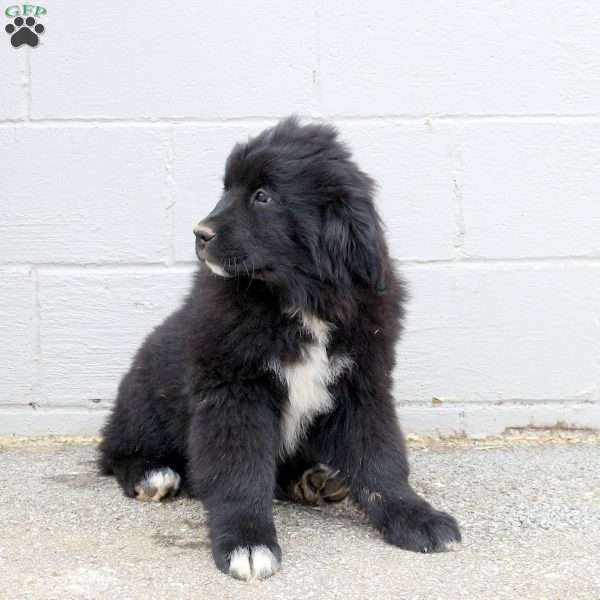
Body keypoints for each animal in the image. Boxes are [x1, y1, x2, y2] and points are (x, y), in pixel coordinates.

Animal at [101, 117, 462, 580]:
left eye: (263, 196)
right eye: (227, 189)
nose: (200, 234)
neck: (300, 299)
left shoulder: (363, 383)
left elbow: (381, 459)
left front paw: (416, 518)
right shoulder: (236, 389)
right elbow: (240, 471)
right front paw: (247, 541)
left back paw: (314, 480)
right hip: (145, 392)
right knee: (115, 448)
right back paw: (151, 473)